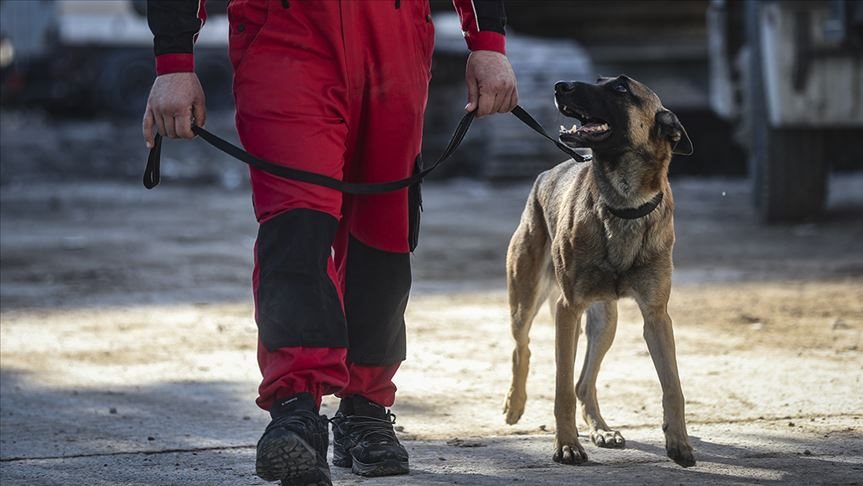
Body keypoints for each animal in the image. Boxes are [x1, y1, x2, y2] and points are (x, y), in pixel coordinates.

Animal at [506, 75, 696, 468]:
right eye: (598, 81)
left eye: (621, 88)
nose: (559, 85)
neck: (624, 203)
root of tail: (547, 173)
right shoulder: (568, 310)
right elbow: (561, 390)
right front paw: (567, 445)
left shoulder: (657, 317)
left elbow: (673, 386)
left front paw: (678, 441)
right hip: (525, 299)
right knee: (523, 347)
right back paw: (515, 405)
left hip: (605, 321)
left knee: (585, 382)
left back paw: (601, 429)